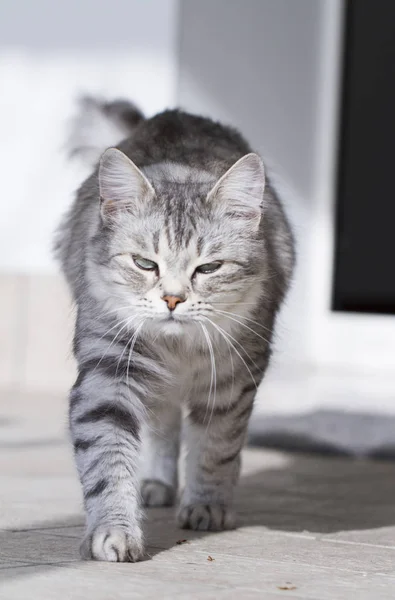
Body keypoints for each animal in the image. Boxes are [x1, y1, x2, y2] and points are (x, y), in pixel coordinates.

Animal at [56, 96, 296, 560]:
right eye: (145, 264)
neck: (179, 349)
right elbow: (107, 461)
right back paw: (155, 485)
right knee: (163, 424)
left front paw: (207, 507)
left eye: (209, 268)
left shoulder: (233, 380)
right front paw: (114, 532)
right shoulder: (108, 376)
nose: (172, 299)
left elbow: (216, 450)